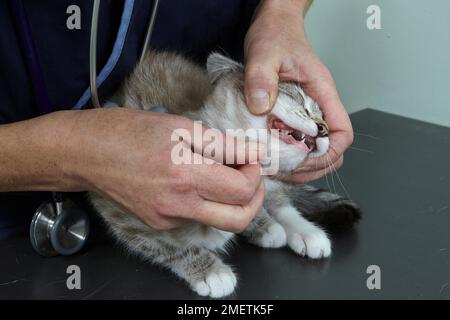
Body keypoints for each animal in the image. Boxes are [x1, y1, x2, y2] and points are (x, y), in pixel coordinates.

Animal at [89, 51, 360, 298]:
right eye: (299, 98)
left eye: (323, 115)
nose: (325, 130)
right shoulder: (119, 207)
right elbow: (163, 245)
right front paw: (210, 271)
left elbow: (276, 203)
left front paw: (270, 225)